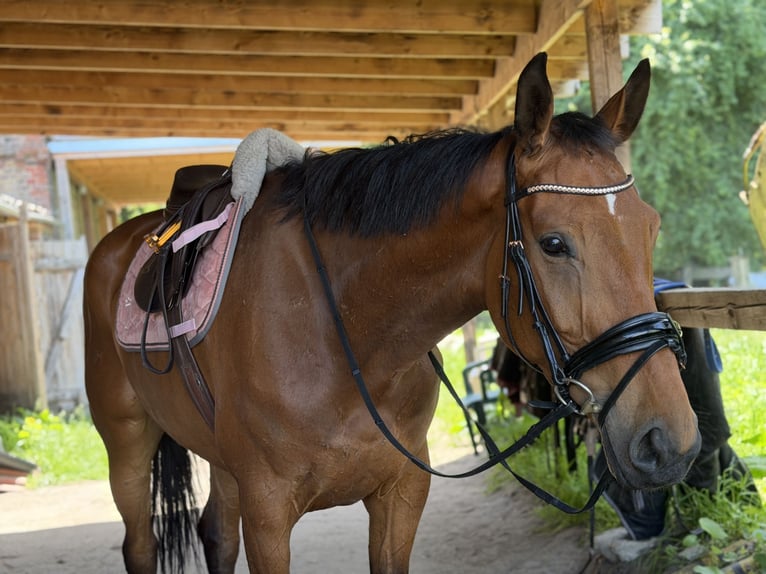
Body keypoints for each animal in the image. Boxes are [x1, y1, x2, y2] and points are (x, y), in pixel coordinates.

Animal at [83, 52, 701, 573]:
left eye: (651, 228)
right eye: (553, 244)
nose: (668, 442)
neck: (347, 334)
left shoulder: (401, 494)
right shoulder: (268, 513)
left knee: (215, 534)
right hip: (128, 447)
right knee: (141, 544)